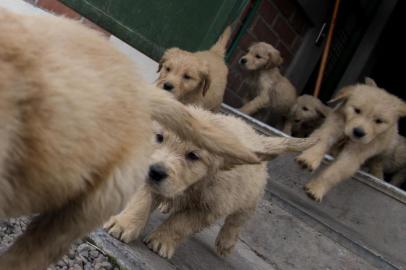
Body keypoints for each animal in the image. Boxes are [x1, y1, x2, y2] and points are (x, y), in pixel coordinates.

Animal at [104, 106, 314, 258]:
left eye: (193, 156)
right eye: (159, 137)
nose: (154, 171)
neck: (193, 185)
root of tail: (257, 138)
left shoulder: (210, 208)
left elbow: (181, 223)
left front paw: (162, 240)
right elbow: (142, 201)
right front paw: (124, 224)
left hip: (250, 197)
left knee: (237, 220)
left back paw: (226, 242)